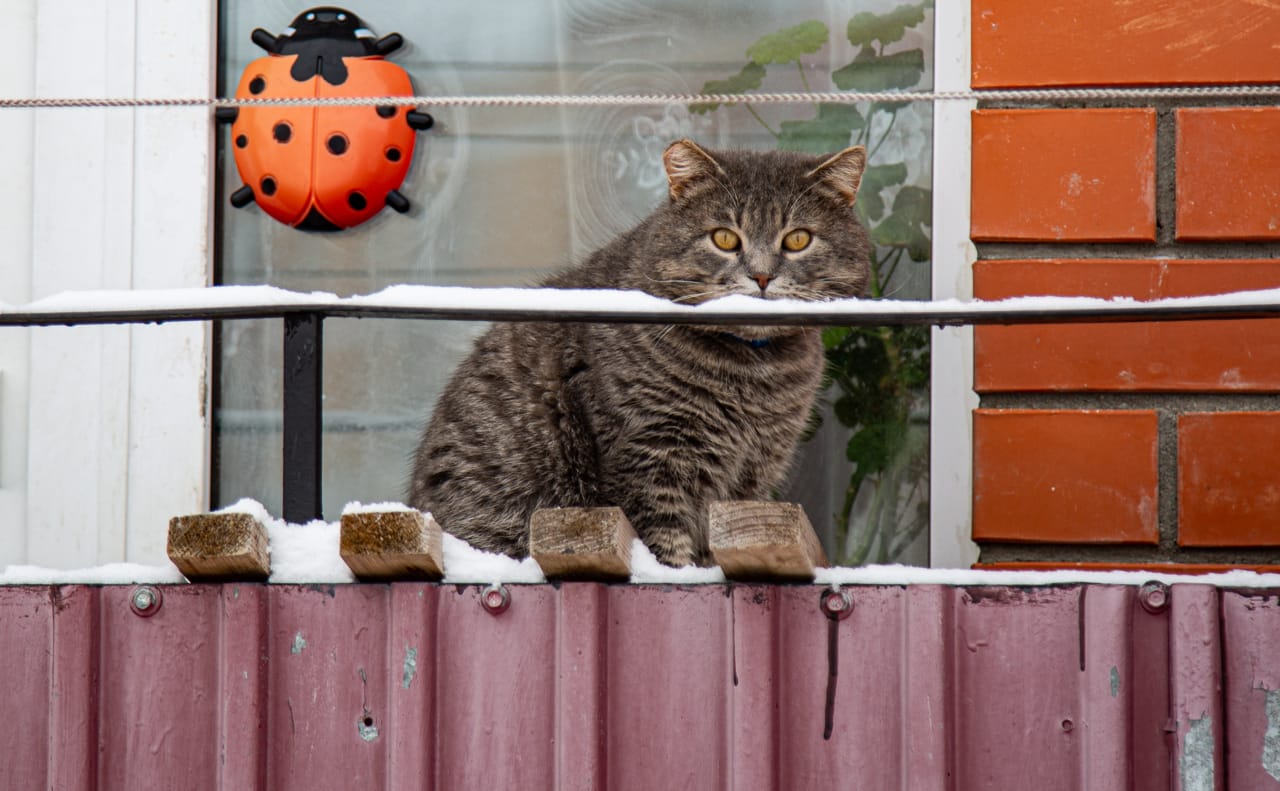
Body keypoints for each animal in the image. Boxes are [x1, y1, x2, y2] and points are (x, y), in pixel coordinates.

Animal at [409, 138, 870, 563]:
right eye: (724, 238)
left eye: (798, 239)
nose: (760, 276)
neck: (752, 372)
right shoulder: (646, 459)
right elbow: (667, 551)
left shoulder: (753, 474)